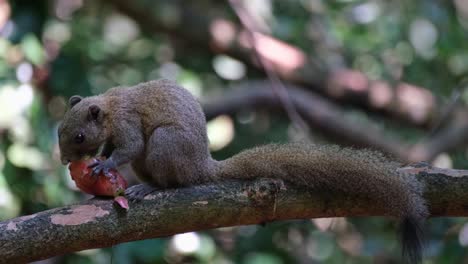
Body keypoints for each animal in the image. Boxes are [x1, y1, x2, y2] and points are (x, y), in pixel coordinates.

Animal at [57, 79, 428, 262]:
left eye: (79, 136)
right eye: (60, 128)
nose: (63, 161)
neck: (109, 107)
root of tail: (201, 167)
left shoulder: (128, 122)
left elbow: (129, 147)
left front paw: (103, 164)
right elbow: (114, 147)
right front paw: (102, 161)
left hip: (165, 143)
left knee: (172, 182)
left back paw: (150, 188)